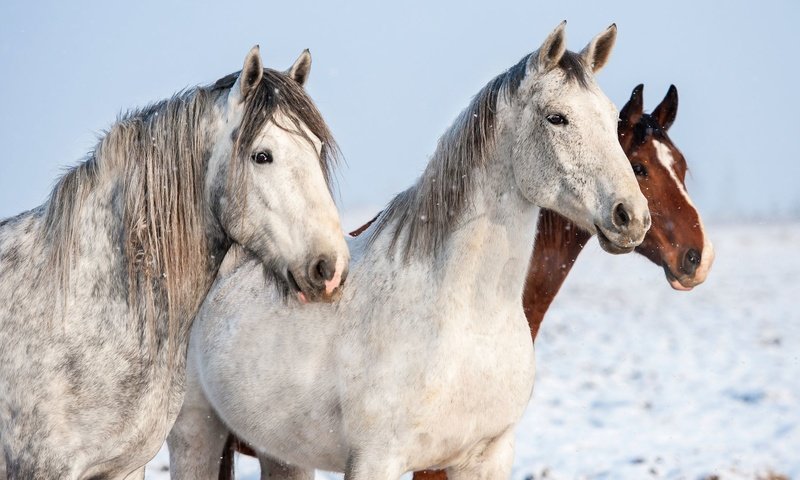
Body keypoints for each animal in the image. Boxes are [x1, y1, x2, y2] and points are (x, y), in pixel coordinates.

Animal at [167, 22, 648, 480]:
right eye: (556, 118)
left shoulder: (488, 459)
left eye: (611, 118)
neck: (466, 322)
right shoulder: (375, 461)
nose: (631, 216)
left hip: (282, 454)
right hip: (195, 432)